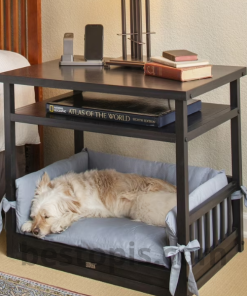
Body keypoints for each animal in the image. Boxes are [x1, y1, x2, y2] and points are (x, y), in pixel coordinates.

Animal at [20, 169, 176, 238]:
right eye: (33, 216)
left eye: (47, 217)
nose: (35, 231)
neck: (70, 190)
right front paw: (27, 224)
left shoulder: (96, 209)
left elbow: (71, 214)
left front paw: (59, 224)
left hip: (142, 204)